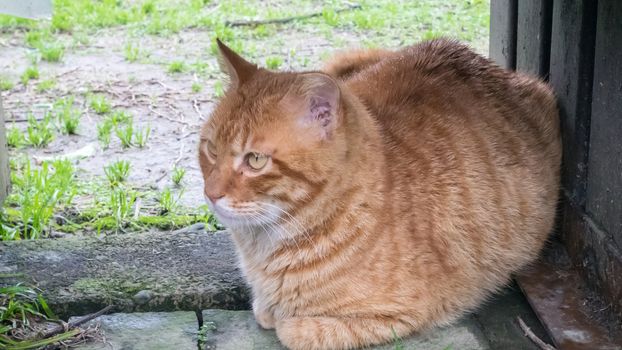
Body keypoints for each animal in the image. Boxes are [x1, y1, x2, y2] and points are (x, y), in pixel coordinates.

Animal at [201, 39, 564, 350]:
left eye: (255, 160)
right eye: (210, 149)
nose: (210, 193)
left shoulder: (401, 315)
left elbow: (294, 330)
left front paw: (281, 317)